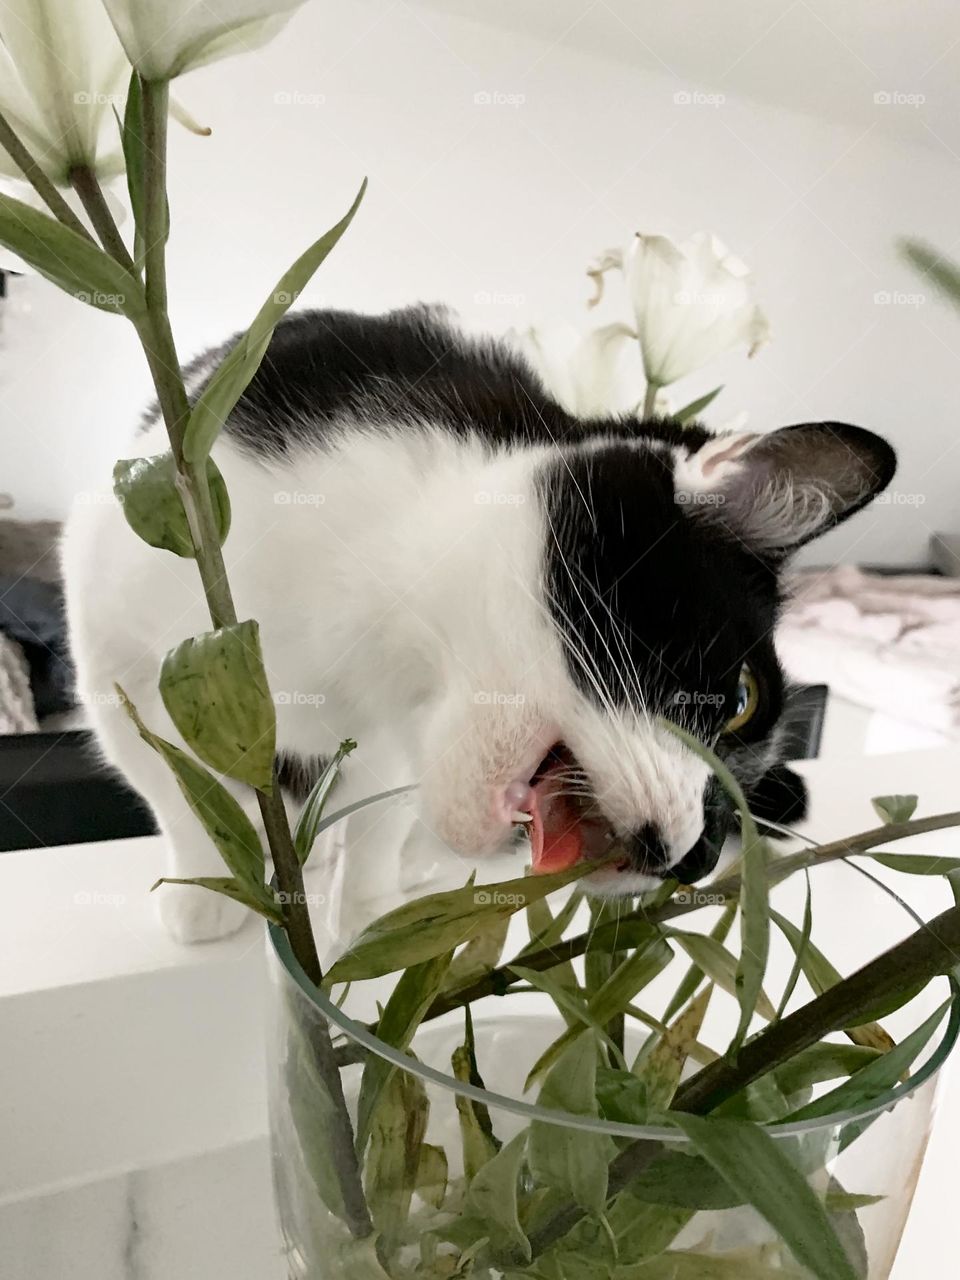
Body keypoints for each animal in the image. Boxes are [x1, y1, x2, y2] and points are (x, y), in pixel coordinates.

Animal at [64, 299, 901, 942]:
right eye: (741, 701)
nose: (695, 859)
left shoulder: (386, 738)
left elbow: (378, 810)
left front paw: (371, 917)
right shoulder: (123, 616)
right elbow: (170, 782)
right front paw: (213, 887)